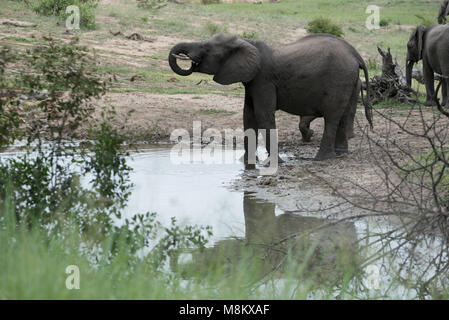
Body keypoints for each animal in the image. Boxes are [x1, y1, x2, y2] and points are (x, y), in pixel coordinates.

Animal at [168, 33, 372, 161]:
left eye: (206, 48)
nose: (186, 58)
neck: (245, 41)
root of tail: (356, 55)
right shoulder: (252, 81)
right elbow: (248, 116)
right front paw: (246, 163)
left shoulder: (263, 80)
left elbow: (263, 115)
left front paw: (275, 164)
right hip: (350, 81)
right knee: (345, 114)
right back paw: (341, 155)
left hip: (338, 79)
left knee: (332, 117)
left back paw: (322, 159)